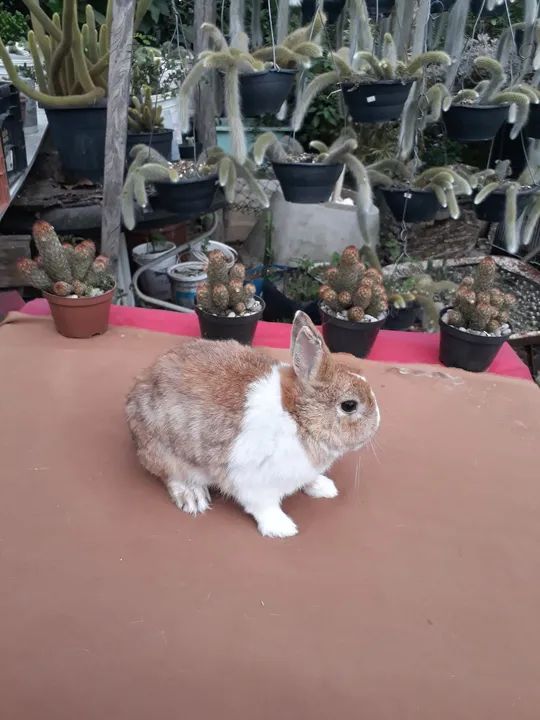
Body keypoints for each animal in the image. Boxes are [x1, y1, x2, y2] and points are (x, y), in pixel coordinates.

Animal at [125, 311, 380, 538]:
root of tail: (135, 393)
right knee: (170, 474)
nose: (377, 423)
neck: (298, 418)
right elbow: (263, 506)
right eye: (349, 405)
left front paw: (324, 487)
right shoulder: (251, 480)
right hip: (164, 451)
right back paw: (193, 497)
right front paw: (282, 528)